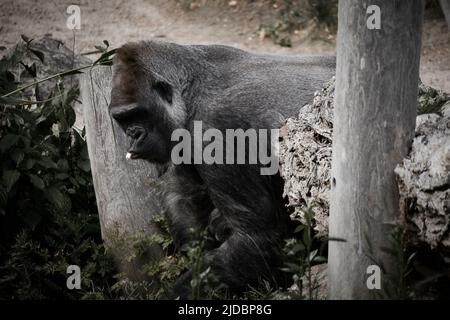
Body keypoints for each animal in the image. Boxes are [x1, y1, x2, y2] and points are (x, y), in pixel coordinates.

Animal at [108, 40, 334, 298]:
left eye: (138, 113)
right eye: (122, 119)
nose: (133, 135)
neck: (191, 93)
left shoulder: (219, 130)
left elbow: (256, 240)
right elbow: (184, 196)